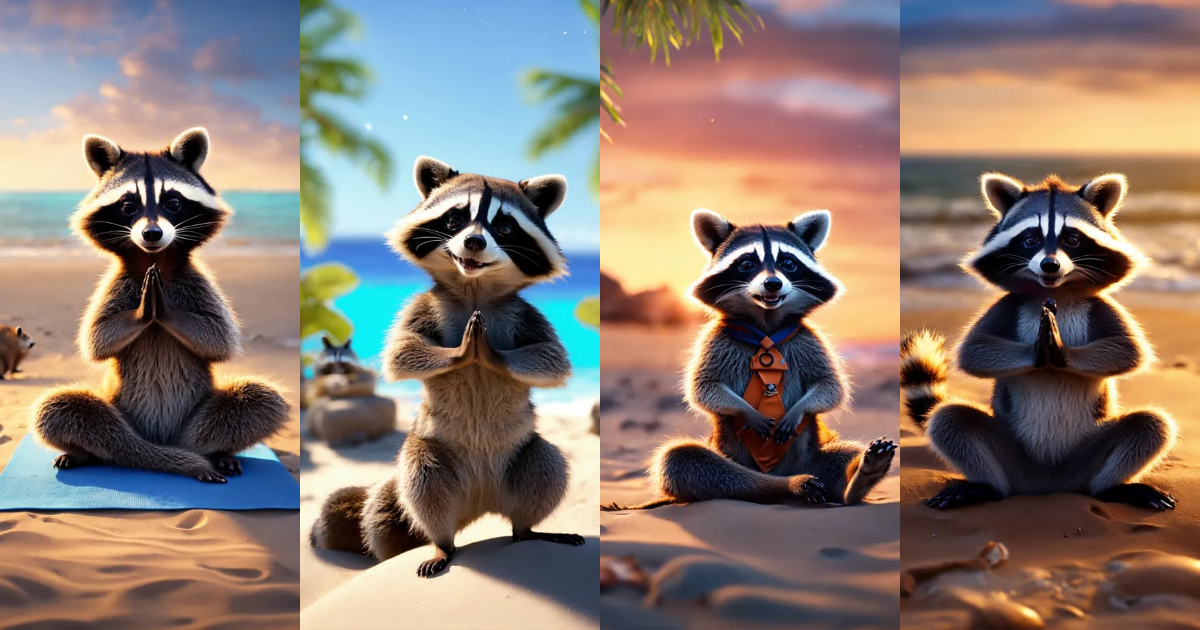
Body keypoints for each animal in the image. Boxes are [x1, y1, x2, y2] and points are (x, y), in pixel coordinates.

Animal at [32, 128, 289, 482]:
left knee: (259, 400)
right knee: (60, 408)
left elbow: (221, 340)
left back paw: (213, 453)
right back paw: (88, 452)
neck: (155, 259)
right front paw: (143, 311)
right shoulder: (118, 283)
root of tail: (161, 440)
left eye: (174, 203)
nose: (152, 233)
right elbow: (96, 340)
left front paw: (165, 311)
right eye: (128, 206)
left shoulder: (193, 280)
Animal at [310, 156, 583, 577]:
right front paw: (462, 354)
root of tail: (479, 504)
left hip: (522, 455)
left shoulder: (522, 313)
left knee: (546, 465)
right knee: (423, 481)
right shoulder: (424, 305)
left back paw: (529, 528)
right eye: (456, 219)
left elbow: (552, 358)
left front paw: (491, 355)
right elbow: (400, 353)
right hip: (431, 453)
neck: (475, 287)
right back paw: (442, 543)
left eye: (504, 226)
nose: (474, 242)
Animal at [603, 209, 895, 511]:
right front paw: (747, 412)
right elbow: (703, 387)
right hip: (729, 456)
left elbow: (831, 385)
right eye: (746, 263)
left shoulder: (808, 341)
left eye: (788, 263)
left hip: (814, 455)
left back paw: (859, 478)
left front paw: (798, 410)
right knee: (684, 460)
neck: (764, 326)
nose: (772, 283)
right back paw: (790, 485)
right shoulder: (715, 341)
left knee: (847, 452)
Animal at [902, 173, 1176, 510]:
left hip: (1085, 455)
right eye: (1030, 239)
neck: (1055, 290)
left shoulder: (1098, 305)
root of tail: (1047, 485)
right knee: (949, 419)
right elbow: (973, 351)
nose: (1050, 265)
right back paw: (985, 486)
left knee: (1151, 425)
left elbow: (1130, 350)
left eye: (1072, 240)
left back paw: (1113, 487)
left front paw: (1060, 352)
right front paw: (1038, 351)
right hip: (1014, 456)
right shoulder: (1010, 304)